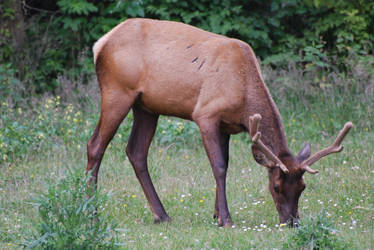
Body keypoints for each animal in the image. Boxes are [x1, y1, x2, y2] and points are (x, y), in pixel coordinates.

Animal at [86, 18, 352, 228]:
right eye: (276, 186)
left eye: (303, 187)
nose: (292, 222)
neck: (243, 95)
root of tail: (100, 44)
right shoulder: (206, 114)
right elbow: (219, 167)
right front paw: (225, 218)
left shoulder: (227, 126)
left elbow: (226, 163)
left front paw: (215, 214)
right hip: (117, 91)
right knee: (95, 145)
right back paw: (92, 211)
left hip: (146, 107)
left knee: (136, 151)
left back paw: (161, 215)